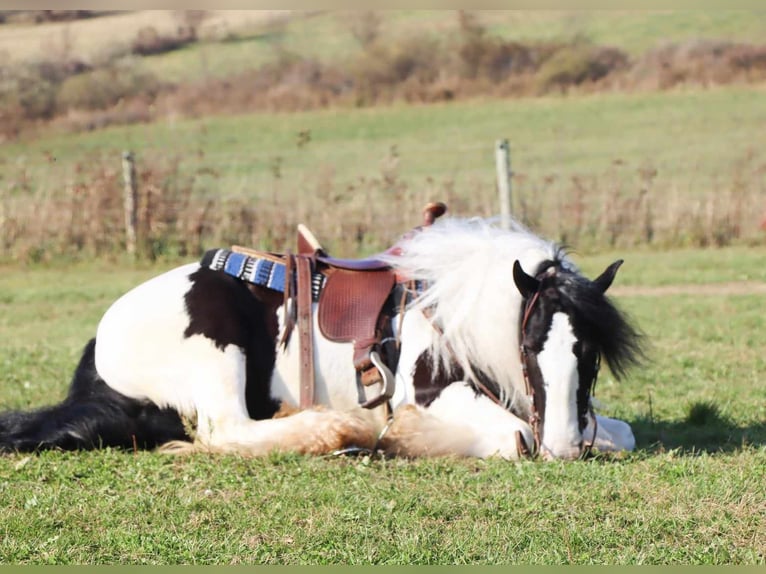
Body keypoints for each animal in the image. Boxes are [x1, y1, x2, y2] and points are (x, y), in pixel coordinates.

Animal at [0, 207, 648, 464]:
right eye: (531, 345)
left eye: (590, 355)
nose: (564, 447)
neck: (455, 309)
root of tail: (100, 350)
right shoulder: (438, 392)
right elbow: (514, 437)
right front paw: (407, 434)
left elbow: (621, 432)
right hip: (220, 350)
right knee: (227, 431)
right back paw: (342, 429)